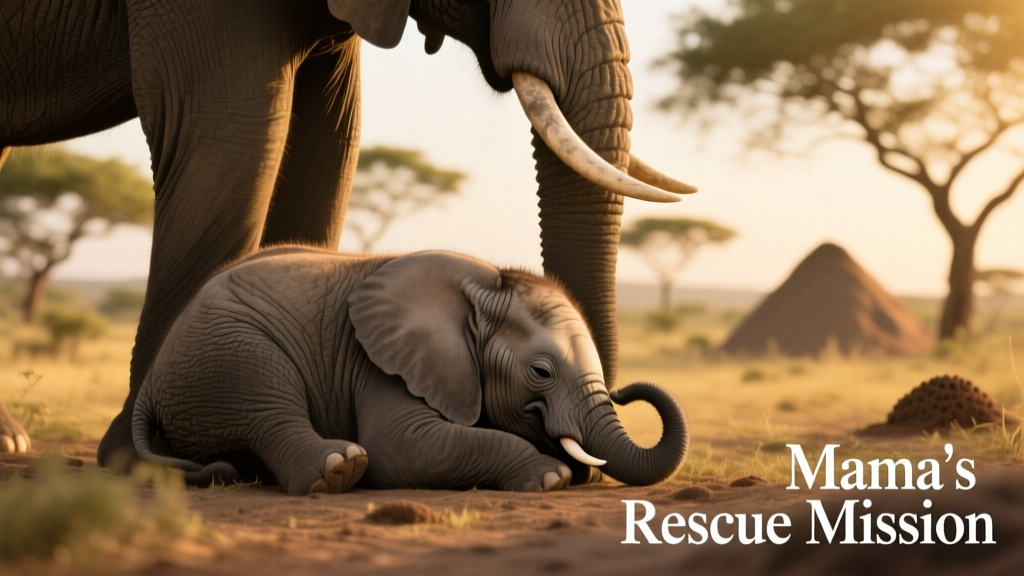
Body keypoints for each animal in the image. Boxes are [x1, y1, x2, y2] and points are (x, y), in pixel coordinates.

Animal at [132, 247, 690, 495]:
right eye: (541, 373)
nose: (625, 390)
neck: (483, 282)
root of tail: (150, 384)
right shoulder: (380, 364)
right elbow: (402, 446)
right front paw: (550, 476)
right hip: (225, 353)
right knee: (268, 405)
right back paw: (339, 470)